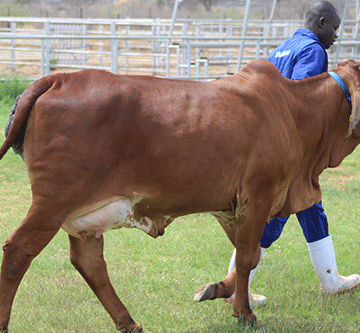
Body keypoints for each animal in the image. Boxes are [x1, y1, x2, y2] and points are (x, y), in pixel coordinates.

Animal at [0, 58, 360, 330]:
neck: (294, 110)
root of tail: (57, 78)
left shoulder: (231, 207)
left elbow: (252, 255)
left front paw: (217, 290)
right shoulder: (258, 195)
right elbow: (247, 257)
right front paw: (244, 311)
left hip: (85, 218)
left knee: (89, 263)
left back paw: (128, 321)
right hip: (54, 203)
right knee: (18, 251)